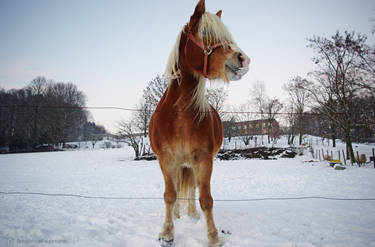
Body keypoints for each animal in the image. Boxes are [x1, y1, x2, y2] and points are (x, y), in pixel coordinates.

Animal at [149, 0, 250, 246]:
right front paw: (167, 233)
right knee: (177, 189)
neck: (182, 116)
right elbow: (169, 195)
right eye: (204, 33)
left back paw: (192, 214)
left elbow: (206, 199)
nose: (243, 59)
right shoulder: (166, 160)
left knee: (192, 188)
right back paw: (177, 214)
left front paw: (213, 237)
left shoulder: (204, 160)